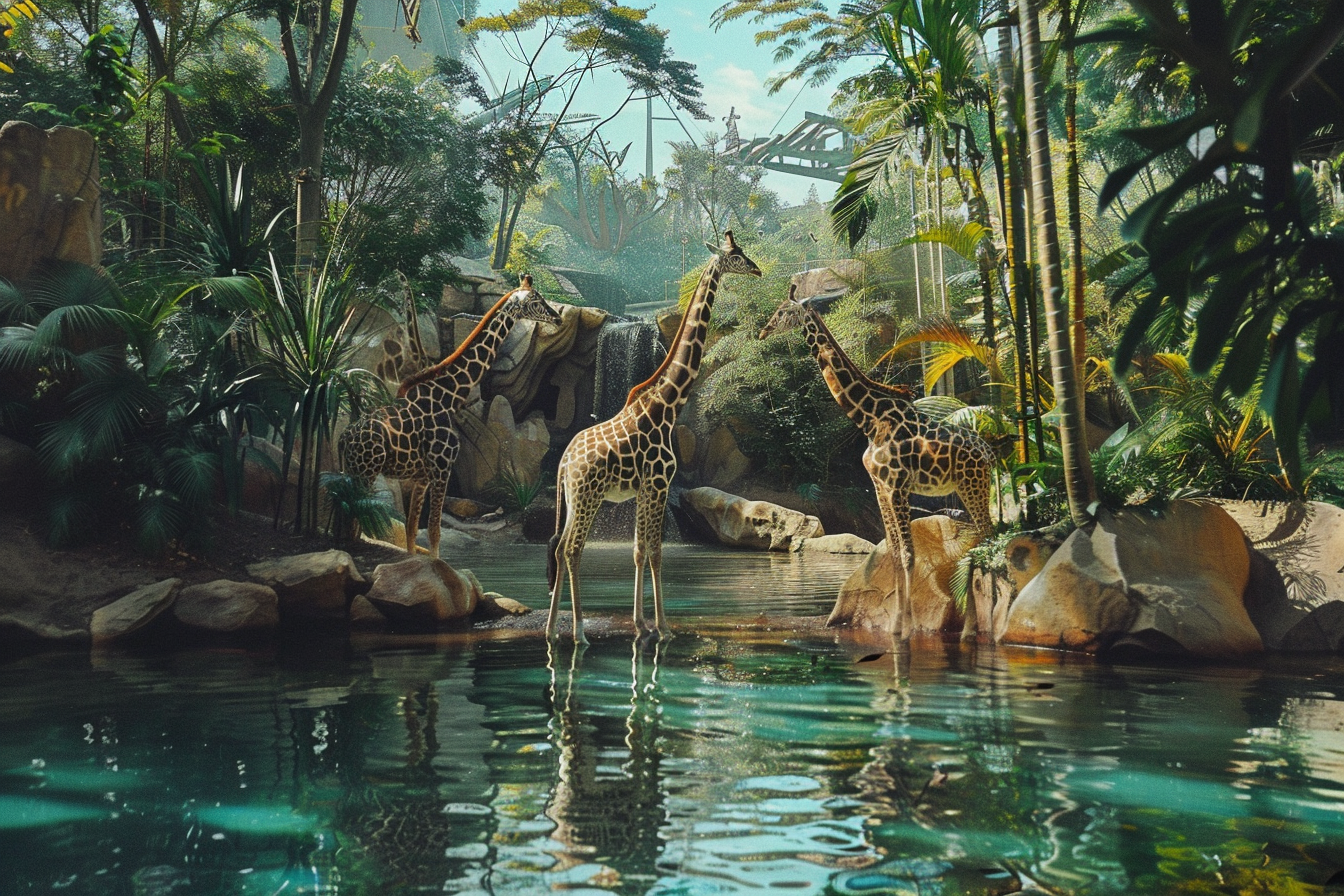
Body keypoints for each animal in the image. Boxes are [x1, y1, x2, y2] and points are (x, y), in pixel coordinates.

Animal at [340, 275, 562, 557]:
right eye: (536, 300)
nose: (558, 318)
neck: (450, 396)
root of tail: (344, 438)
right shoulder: (441, 467)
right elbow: (434, 532)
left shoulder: (422, 476)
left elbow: (413, 532)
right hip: (365, 472)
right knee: (351, 519)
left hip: (350, 470)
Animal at [546, 231, 762, 644]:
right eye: (737, 256)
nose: (758, 269)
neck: (668, 406)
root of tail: (564, 461)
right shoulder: (659, 482)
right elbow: (656, 552)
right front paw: (662, 627)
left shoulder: (645, 486)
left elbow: (638, 549)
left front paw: (640, 623)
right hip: (588, 495)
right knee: (573, 548)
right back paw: (578, 631)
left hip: (571, 497)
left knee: (559, 545)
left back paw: (552, 629)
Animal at [758, 286, 994, 640]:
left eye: (784, 312)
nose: (762, 332)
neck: (870, 419)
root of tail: (989, 454)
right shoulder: (880, 485)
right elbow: (895, 554)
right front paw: (895, 624)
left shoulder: (897, 484)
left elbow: (908, 554)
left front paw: (906, 628)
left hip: (972, 486)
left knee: (989, 537)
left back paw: (972, 629)